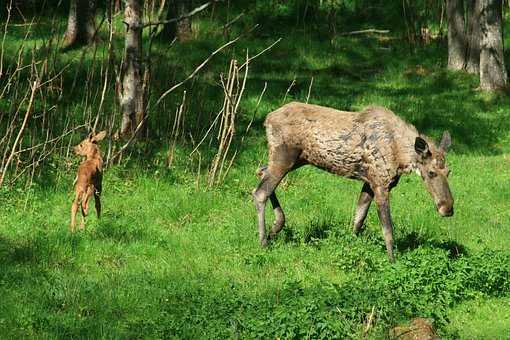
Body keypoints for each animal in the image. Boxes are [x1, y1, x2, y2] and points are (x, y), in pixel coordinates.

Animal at [255, 102, 454, 262]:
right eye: (431, 172)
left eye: (449, 172)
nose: (448, 208)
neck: (401, 157)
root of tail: (267, 120)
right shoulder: (380, 183)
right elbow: (387, 229)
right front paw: (392, 261)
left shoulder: (369, 182)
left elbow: (358, 219)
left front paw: (351, 245)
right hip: (284, 156)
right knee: (260, 192)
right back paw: (263, 241)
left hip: (296, 160)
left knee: (261, 171)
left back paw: (276, 227)